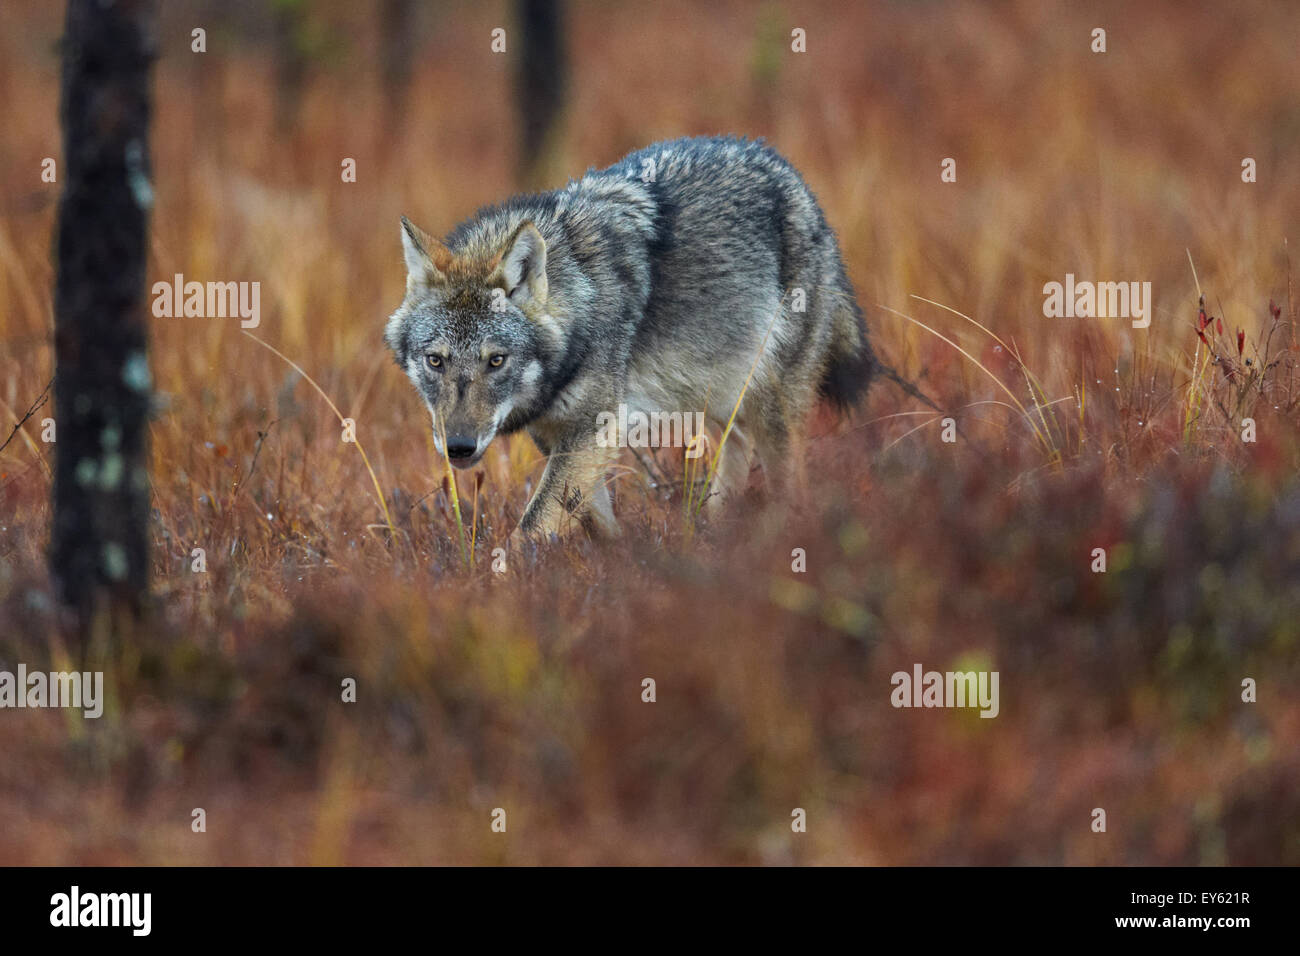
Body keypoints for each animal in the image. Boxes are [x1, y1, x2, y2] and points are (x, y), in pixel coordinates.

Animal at [379, 134, 878, 541]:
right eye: (436, 360)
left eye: (495, 360)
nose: (459, 447)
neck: (579, 299)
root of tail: (796, 182)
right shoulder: (561, 437)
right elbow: (592, 520)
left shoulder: (596, 428)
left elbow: (531, 526)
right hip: (719, 392)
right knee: (736, 445)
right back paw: (713, 532)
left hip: (771, 408)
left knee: (788, 482)